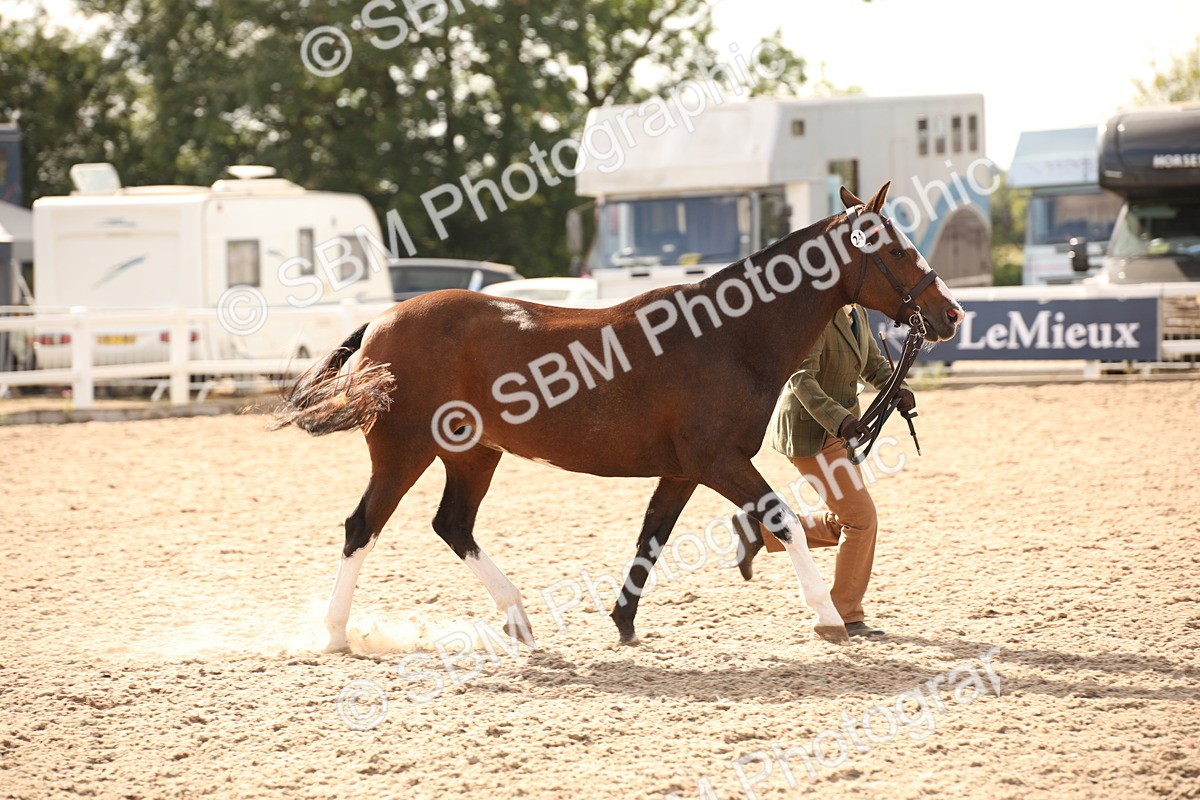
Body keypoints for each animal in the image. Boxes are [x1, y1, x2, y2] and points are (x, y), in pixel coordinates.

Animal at [274, 182, 963, 652]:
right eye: (895, 247)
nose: (951, 313)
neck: (728, 335)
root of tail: (380, 323)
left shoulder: (684, 470)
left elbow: (651, 537)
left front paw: (623, 621)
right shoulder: (719, 461)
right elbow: (784, 521)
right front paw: (826, 616)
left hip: (474, 455)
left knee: (452, 525)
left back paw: (519, 618)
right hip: (404, 452)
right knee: (362, 527)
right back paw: (335, 633)